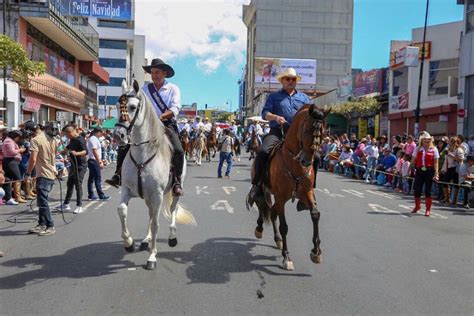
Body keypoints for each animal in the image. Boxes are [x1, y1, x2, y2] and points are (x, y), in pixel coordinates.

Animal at [112, 80, 195, 270]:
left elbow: (157, 224)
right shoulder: (127, 189)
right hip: (148, 198)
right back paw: (145, 239)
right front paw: (128, 243)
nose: (118, 136)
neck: (143, 155)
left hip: (173, 191)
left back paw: (172, 237)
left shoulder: (157, 194)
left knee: (172, 210)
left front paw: (152, 257)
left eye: (132, 107)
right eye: (117, 107)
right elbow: (122, 210)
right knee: (150, 214)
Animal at [246, 104, 328, 272]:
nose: (306, 161)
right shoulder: (281, 197)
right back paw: (260, 229)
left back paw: (277, 239)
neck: (295, 163)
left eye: (322, 132)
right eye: (306, 130)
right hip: (264, 190)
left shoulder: (306, 193)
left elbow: (315, 215)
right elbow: (284, 226)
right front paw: (287, 257)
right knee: (261, 204)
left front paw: (316, 252)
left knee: (271, 212)